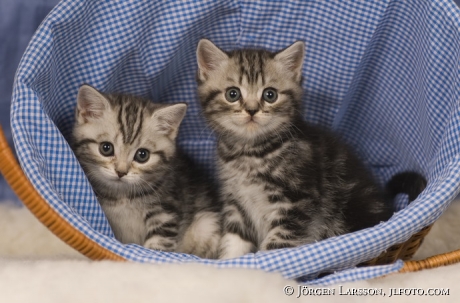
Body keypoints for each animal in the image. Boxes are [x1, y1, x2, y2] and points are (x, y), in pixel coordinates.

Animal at [71, 85, 221, 258]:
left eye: (142, 155)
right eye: (106, 148)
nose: (121, 172)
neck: (121, 195)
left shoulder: (166, 210)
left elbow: (158, 243)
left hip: (206, 223)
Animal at [196, 39, 426, 260]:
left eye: (270, 95)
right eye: (232, 94)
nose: (252, 110)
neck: (251, 152)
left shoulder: (297, 204)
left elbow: (275, 248)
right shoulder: (236, 203)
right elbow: (234, 241)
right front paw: (229, 264)